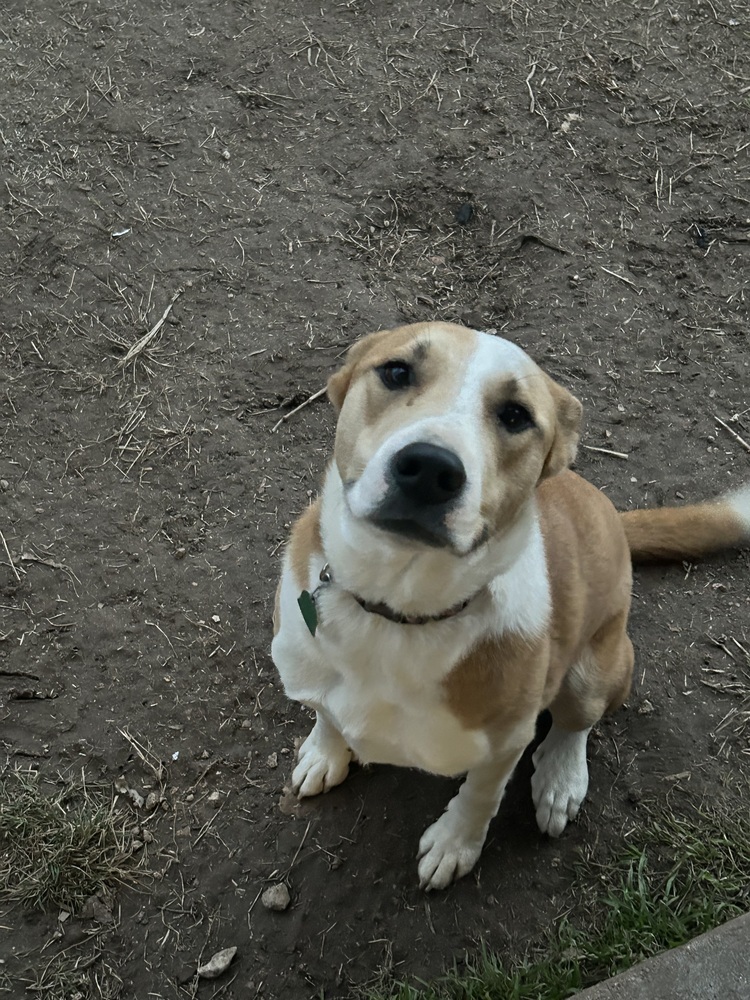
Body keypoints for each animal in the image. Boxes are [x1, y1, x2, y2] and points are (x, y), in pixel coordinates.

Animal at [272, 322, 750, 892]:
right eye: (396, 371)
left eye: (516, 415)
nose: (429, 468)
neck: (398, 612)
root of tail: (614, 513)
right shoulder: (313, 672)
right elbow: (326, 711)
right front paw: (326, 751)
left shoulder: (503, 743)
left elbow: (481, 795)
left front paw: (455, 843)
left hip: (595, 668)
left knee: (576, 722)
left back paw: (560, 779)